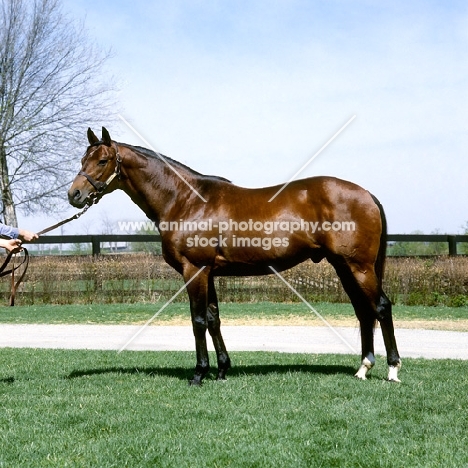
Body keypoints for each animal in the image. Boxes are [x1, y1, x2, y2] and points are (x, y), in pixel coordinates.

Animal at [67, 127, 400, 384]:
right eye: (83, 159)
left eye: (103, 160)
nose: (74, 195)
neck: (185, 200)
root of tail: (367, 195)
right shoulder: (209, 272)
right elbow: (214, 318)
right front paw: (222, 370)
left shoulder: (195, 270)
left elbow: (198, 320)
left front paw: (199, 374)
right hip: (344, 266)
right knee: (364, 311)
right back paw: (363, 368)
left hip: (359, 267)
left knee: (381, 307)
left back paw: (393, 369)